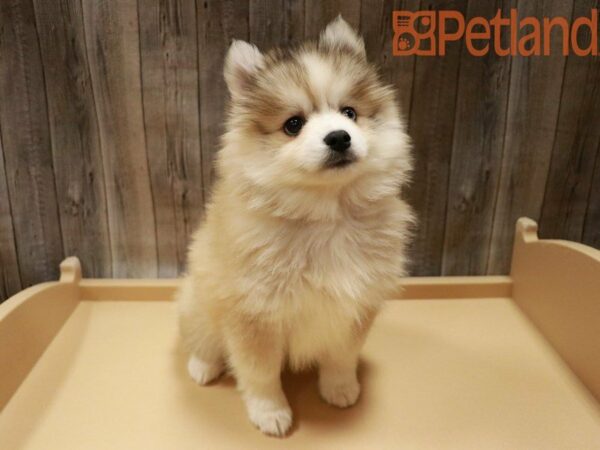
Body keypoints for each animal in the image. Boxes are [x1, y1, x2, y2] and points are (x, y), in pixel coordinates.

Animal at [176, 16, 414, 436]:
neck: (326, 218)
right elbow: (260, 374)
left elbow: (341, 356)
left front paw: (340, 389)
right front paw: (270, 412)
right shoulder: (254, 318)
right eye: (293, 124)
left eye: (349, 113)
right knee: (204, 342)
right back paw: (203, 367)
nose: (339, 137)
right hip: (198, 303)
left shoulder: (355, 308)